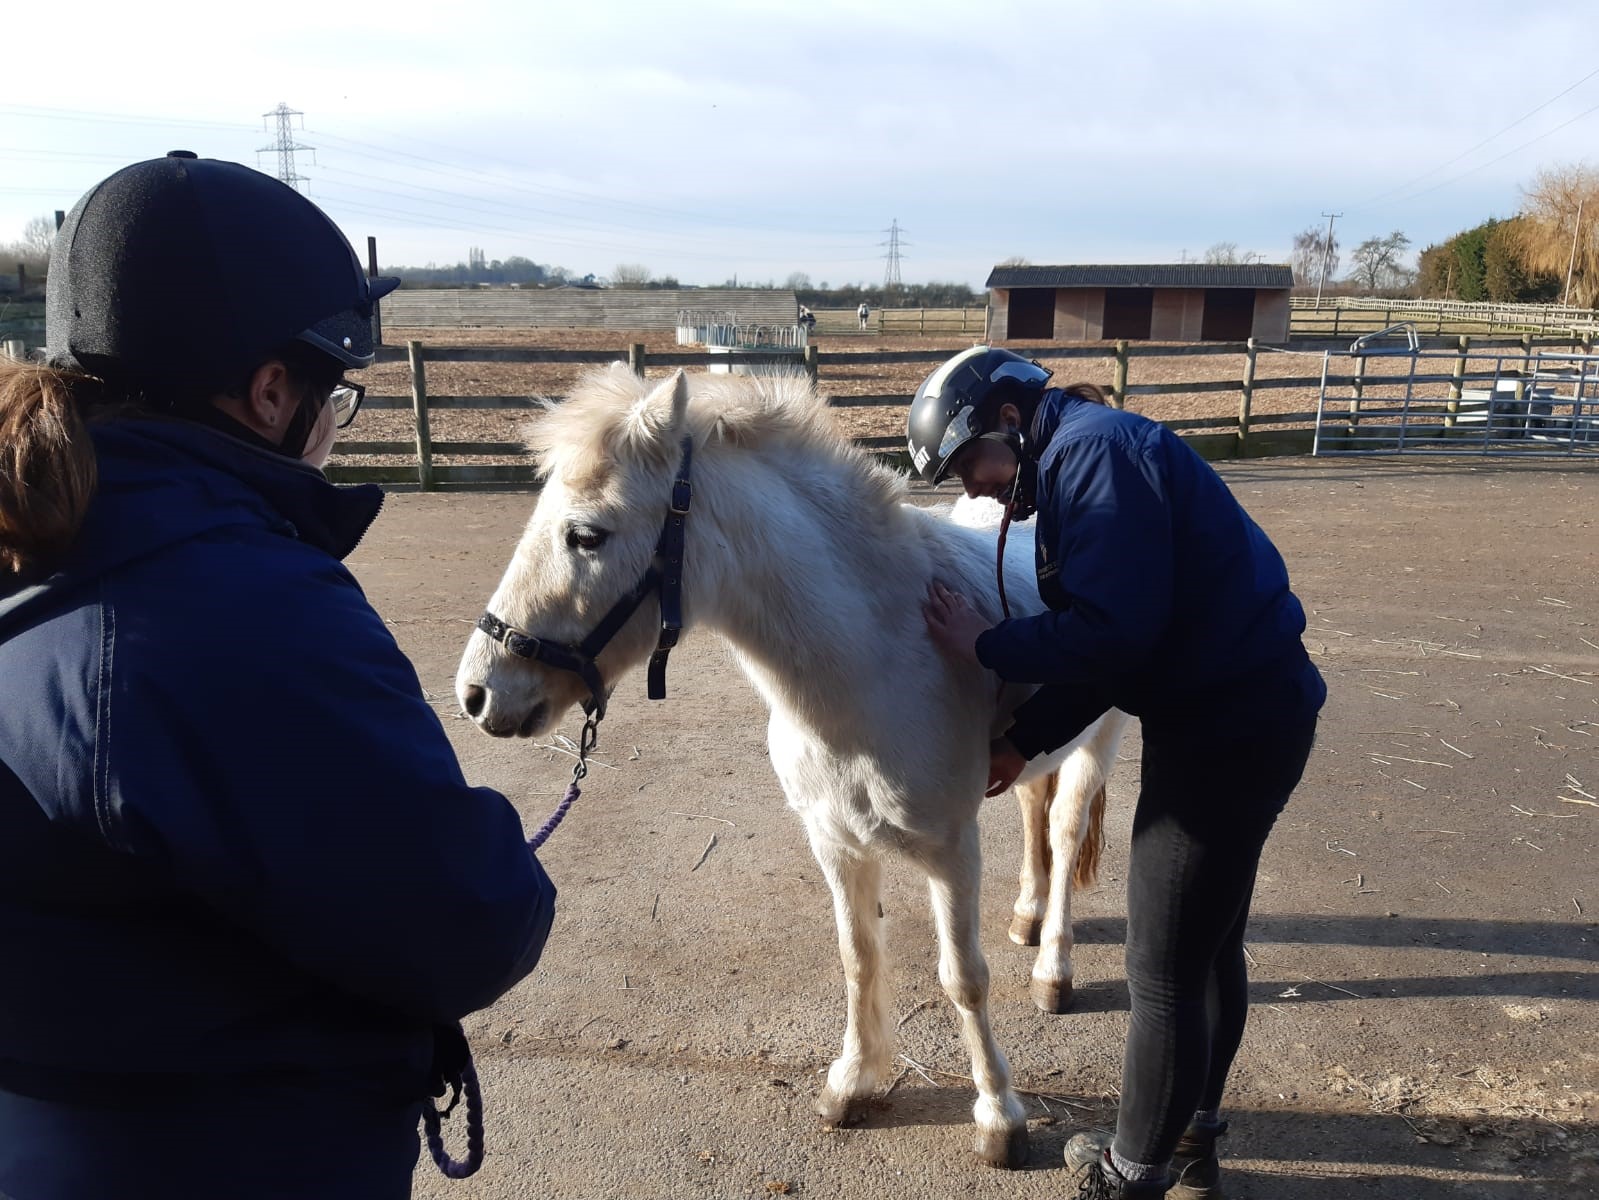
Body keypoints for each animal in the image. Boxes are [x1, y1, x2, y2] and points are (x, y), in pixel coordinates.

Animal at [454, 365, 1128, 1167]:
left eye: (586, 534)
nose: (476, 693)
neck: (876, 659)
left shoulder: (950, 850)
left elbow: (963, 978)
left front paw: (999, 1116)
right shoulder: (834, 843)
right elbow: (858, 957)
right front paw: (854, 1082)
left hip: (1097, 742)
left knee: (1062, 828)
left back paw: (1052, 967)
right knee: (1033, 814)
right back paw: (1026, 914)